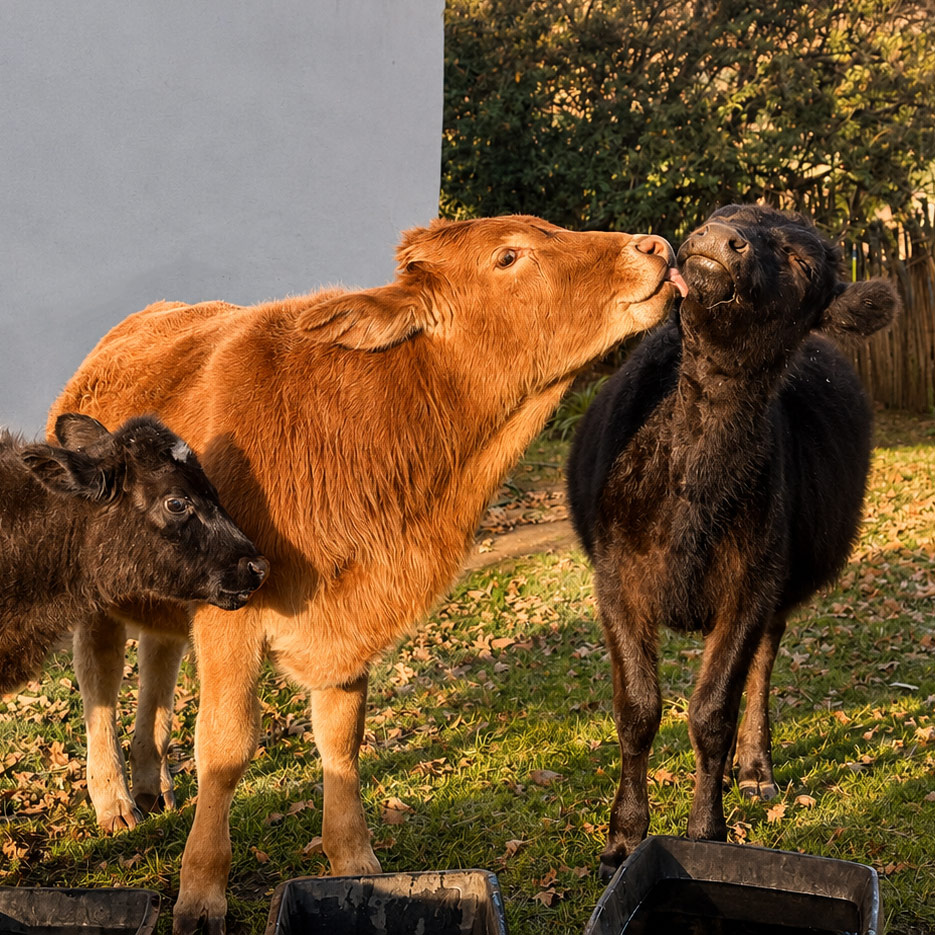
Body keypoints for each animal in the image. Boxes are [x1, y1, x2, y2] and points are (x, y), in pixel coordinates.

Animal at [50, 214, 686, 933]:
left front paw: (355, 862)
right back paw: (113, 797)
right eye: (508, 256)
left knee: (158, 655)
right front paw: (201, 891)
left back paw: (152, 778)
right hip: (94, 597)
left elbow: (341, 739)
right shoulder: (230, 612)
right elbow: (226, 745)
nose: (653, 246)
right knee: (99, 678)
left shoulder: (351, 618)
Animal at [566, 204, 898, 877]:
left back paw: (754, 768)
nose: (719, 239)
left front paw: (705, 833)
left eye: (800, 261)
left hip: (781, 588)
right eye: (722, 215)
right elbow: (638, 710)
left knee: (761, 668)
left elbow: (711, 712)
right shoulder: (616, 583)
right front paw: (623, 839)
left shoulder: (750, 589)